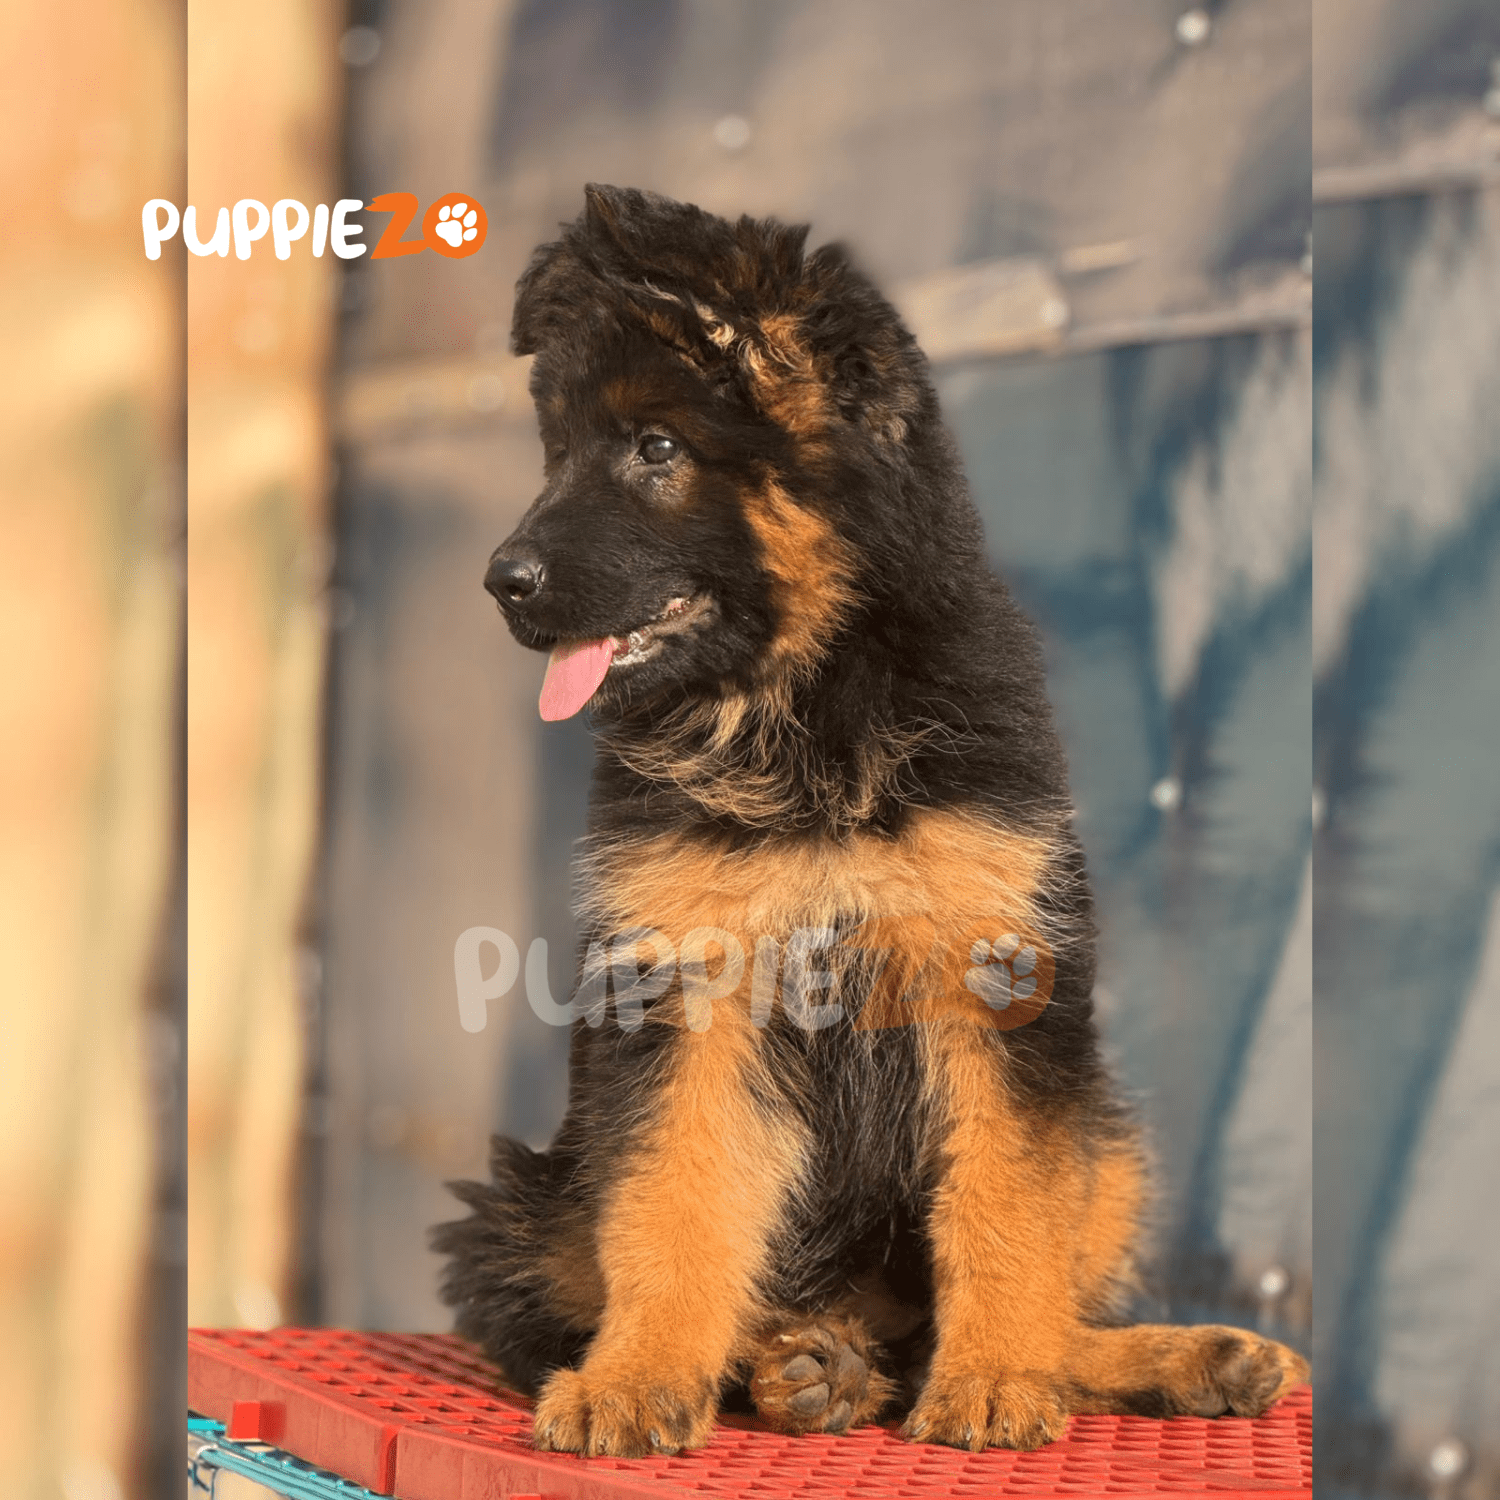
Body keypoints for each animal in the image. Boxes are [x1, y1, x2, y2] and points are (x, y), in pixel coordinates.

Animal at [433, 184, 1308, 1456]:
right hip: (520, 1205)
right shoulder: (688, 993)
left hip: (1107, 1135)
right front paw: (636, 1379)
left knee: (1039, 1302)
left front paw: (994, 1379)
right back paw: (808, 1366)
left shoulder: (993, 979)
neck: (806, 710)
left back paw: (1162, 1358)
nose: (504, 583)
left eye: (657, 449)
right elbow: (673, 1202)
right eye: (558, 455)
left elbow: (1004, 1206)